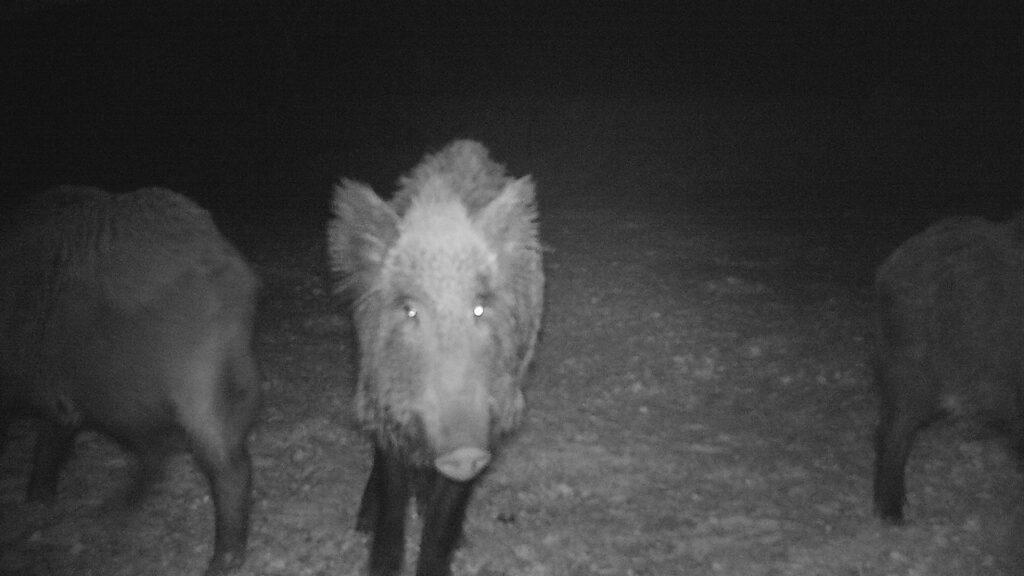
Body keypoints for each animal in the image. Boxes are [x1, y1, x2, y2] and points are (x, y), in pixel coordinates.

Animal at [327, 140, 544, 576]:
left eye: (480, 307)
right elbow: (392, 503)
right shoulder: (385, 400)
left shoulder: (492, 416)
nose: (463, 451)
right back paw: (362, 523)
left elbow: (444, 519)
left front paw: (449, 538)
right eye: (410, 310)